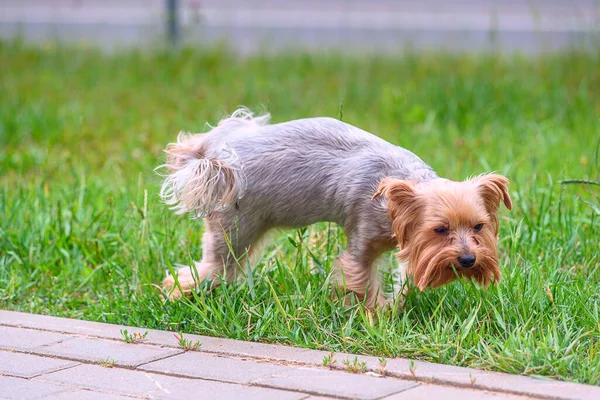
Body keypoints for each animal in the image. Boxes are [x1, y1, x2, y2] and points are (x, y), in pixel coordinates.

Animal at [158, 108, 510, 308]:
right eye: (440, 229)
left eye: (479, 226)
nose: (468, 260)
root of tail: (215, 156)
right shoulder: (362, 238)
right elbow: (360, 279)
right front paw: (376, 313)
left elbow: (404, 275)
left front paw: (396, 302)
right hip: (236, 228)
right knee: (208, 268)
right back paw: (177, 296)